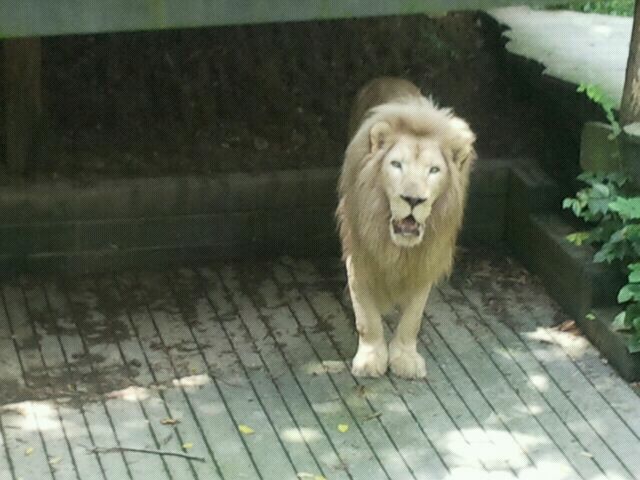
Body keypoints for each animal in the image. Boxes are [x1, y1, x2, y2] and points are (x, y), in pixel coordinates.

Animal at [337, 77, 476, 379]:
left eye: (434, 170)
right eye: (396, 164)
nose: (413, 199)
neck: (397, 246)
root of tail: (387, 77)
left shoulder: (424, 261)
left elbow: (413, 317)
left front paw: (405, 359)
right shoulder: (359, 256)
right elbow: (366, 316)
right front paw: (370, 359)